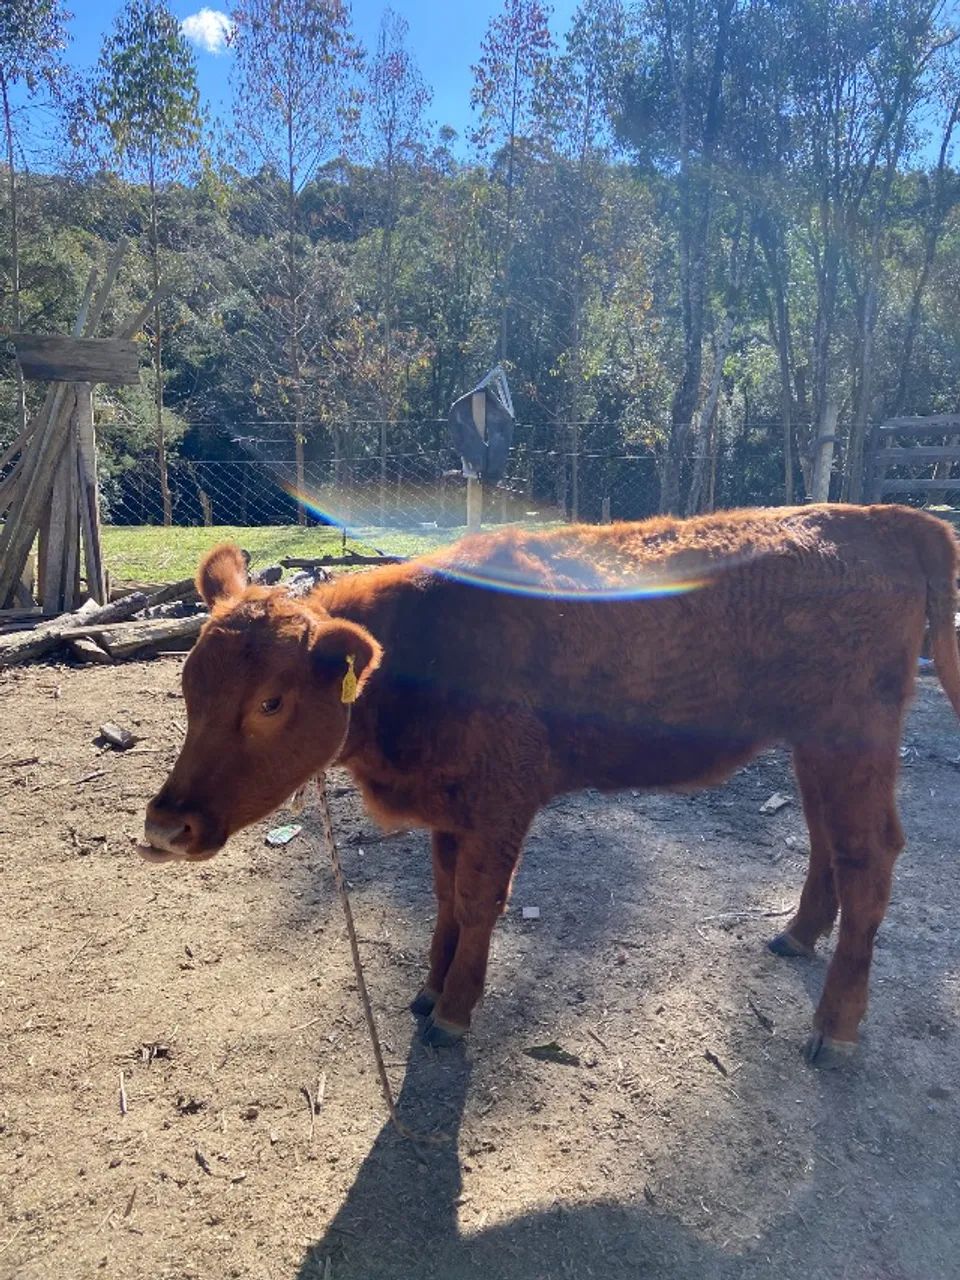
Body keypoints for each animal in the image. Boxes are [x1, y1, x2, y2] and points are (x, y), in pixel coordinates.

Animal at [143, 504, 960, 1069]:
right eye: (188, 684)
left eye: (271, 702)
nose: (165, 826)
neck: (425, 652)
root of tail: (884, 517)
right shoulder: (454, 809)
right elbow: (445, 898)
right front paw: (429, 989)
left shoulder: (503, 801)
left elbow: (478, 901)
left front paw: (454, 1013)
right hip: (815, 744)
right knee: (828, 839)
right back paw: (796, 936)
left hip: (853, 737)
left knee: (871, 855)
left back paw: (835, 1028)